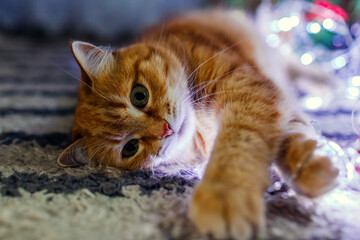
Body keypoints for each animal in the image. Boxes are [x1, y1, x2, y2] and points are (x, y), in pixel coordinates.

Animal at [57, 10, 338, 238]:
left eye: (139, 95)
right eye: (130, 148)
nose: (165, 130)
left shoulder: (247, 89)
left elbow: (244, 140)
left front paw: (228, 191)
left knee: (291, 61)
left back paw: (323, 81)